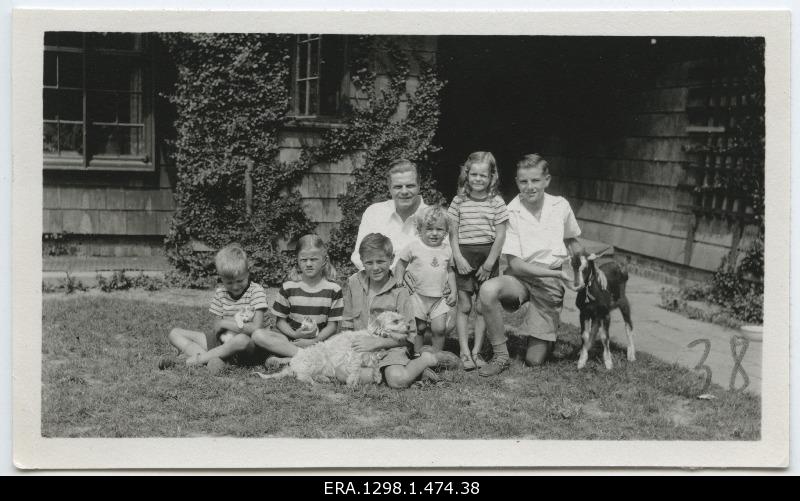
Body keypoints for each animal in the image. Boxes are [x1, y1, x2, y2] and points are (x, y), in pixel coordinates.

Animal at [255, 310, 416, 384]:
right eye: (395, 321)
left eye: (402, 319)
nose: (409, 326)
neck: (374, 336)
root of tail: (293, 363)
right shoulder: (355, 356)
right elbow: (356, 369)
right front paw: (352, 382)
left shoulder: (372, 358)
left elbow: (376, 365)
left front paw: (377, 376)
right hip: (317, 360)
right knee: (301, 376)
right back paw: (314, 383)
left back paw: (322, 379)